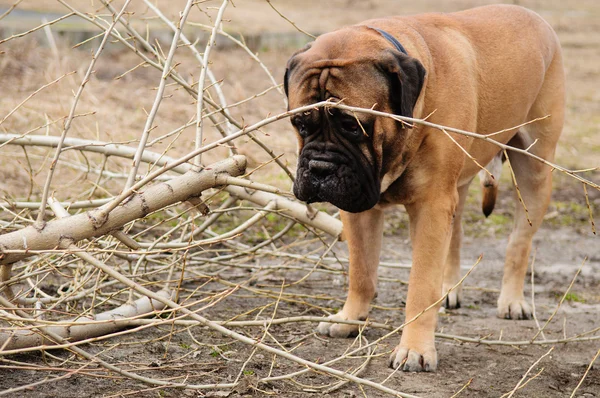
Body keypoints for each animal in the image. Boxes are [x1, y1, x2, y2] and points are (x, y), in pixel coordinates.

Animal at [284, 3, 564, 372]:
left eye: (353, 126)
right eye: (300, 124)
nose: (319, 168)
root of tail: (536, 16)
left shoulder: (431, 206)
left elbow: (420, 286)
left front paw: (415, 348)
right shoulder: (360, 209)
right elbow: (361, 270)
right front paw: (350, 318)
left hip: (535, 168)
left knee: (519, 242)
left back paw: (512, 300)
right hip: (460, 182)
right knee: (456, 233)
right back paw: (450, 289)